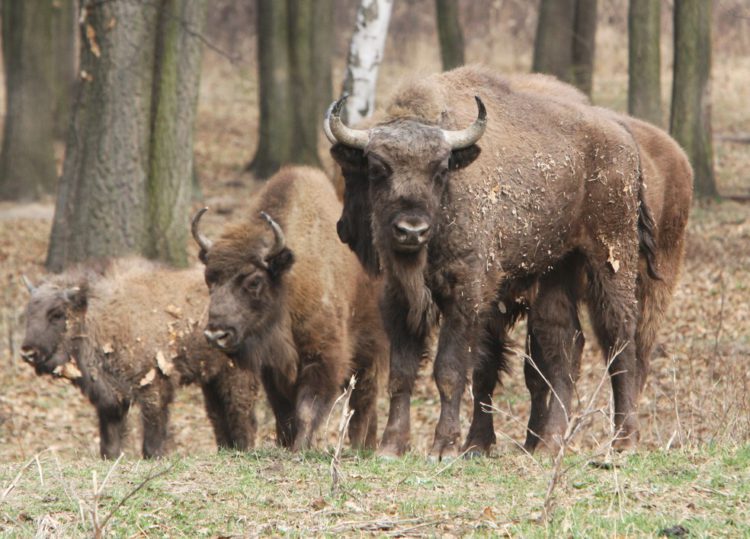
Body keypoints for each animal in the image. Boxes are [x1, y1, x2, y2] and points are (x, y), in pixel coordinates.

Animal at [20, 258, 262, 460]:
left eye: (57, 314)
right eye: (29, 312)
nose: (28, 352)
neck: (100, 316)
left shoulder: (153, 388)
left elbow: (152, 437)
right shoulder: (110, 398)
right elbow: (109, 442)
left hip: (236, 375)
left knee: (241, 413)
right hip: (212, 380)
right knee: (219, 416)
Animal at [192, 165, 388, 452]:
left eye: (254, 281)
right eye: (209, 278)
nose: (216, 335)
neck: (288, 285)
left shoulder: (322, 358)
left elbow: (307, 409)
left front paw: (300, 448)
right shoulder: (272, 370)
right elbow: (283, 413)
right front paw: (286, 444)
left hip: (370, 355)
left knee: (363, 404)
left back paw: (360, 447)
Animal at [328, 65, 652, 458]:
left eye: (440, 170)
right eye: (377, 168)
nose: (411, 230)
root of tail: (622, 135)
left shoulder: (466, 295)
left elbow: (450, 370)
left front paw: (443, 447)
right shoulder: (398, 299)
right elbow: (402, 373)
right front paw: (391, 446)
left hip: (611, 255)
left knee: (620, 336)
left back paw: (624, 441)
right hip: (557, 268)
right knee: (563, 344)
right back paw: (550, 443)